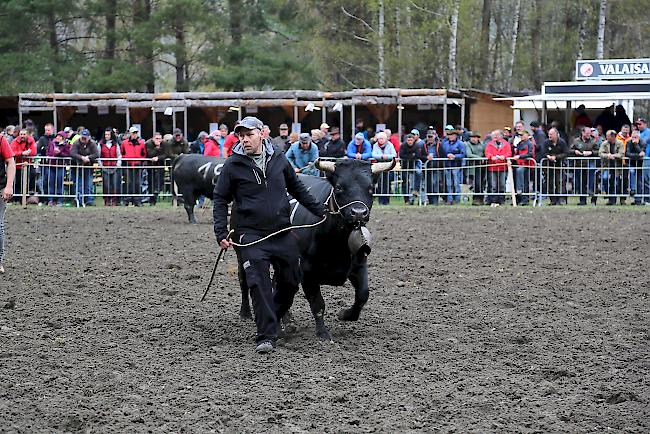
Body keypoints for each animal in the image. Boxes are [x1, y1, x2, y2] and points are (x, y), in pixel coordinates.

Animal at [172, 154, 392, 340]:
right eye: (339, 188)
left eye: (370, 188)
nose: (358, 213)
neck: (336, 244)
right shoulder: (307, 273)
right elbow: (318, 304)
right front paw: (323, 334)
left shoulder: (358, 265)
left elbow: (363, 295)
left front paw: (346, 314)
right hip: (238, 248)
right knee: (245, 280)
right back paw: (246, 313)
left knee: (277, 284)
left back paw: (286, 319)